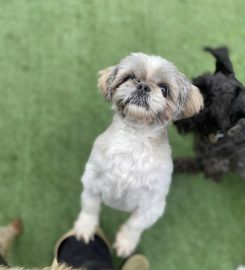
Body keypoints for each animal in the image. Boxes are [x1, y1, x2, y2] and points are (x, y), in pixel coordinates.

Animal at [74, 52, 203, 258]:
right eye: (129, 78)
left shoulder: (152, 205)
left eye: (164, 89)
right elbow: (89, 208)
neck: (133, 142)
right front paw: (85, 228)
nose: (143, 86)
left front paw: (126, 242)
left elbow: (134, 225)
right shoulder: (92, 182)